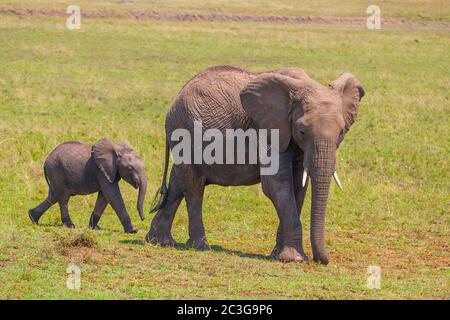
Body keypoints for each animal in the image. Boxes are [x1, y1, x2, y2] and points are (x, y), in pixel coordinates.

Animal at [146, 65, 364, 264]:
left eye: (341, 132)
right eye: (302, 131)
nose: (320, 260)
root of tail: (176, 97)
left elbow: (298, 187)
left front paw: (279, 255)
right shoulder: (266, 130)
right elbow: (276, 186)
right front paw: (293, 259)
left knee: (177, 183)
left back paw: (159, 242)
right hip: (183, 130)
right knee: (194, 186)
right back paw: (200, 246)